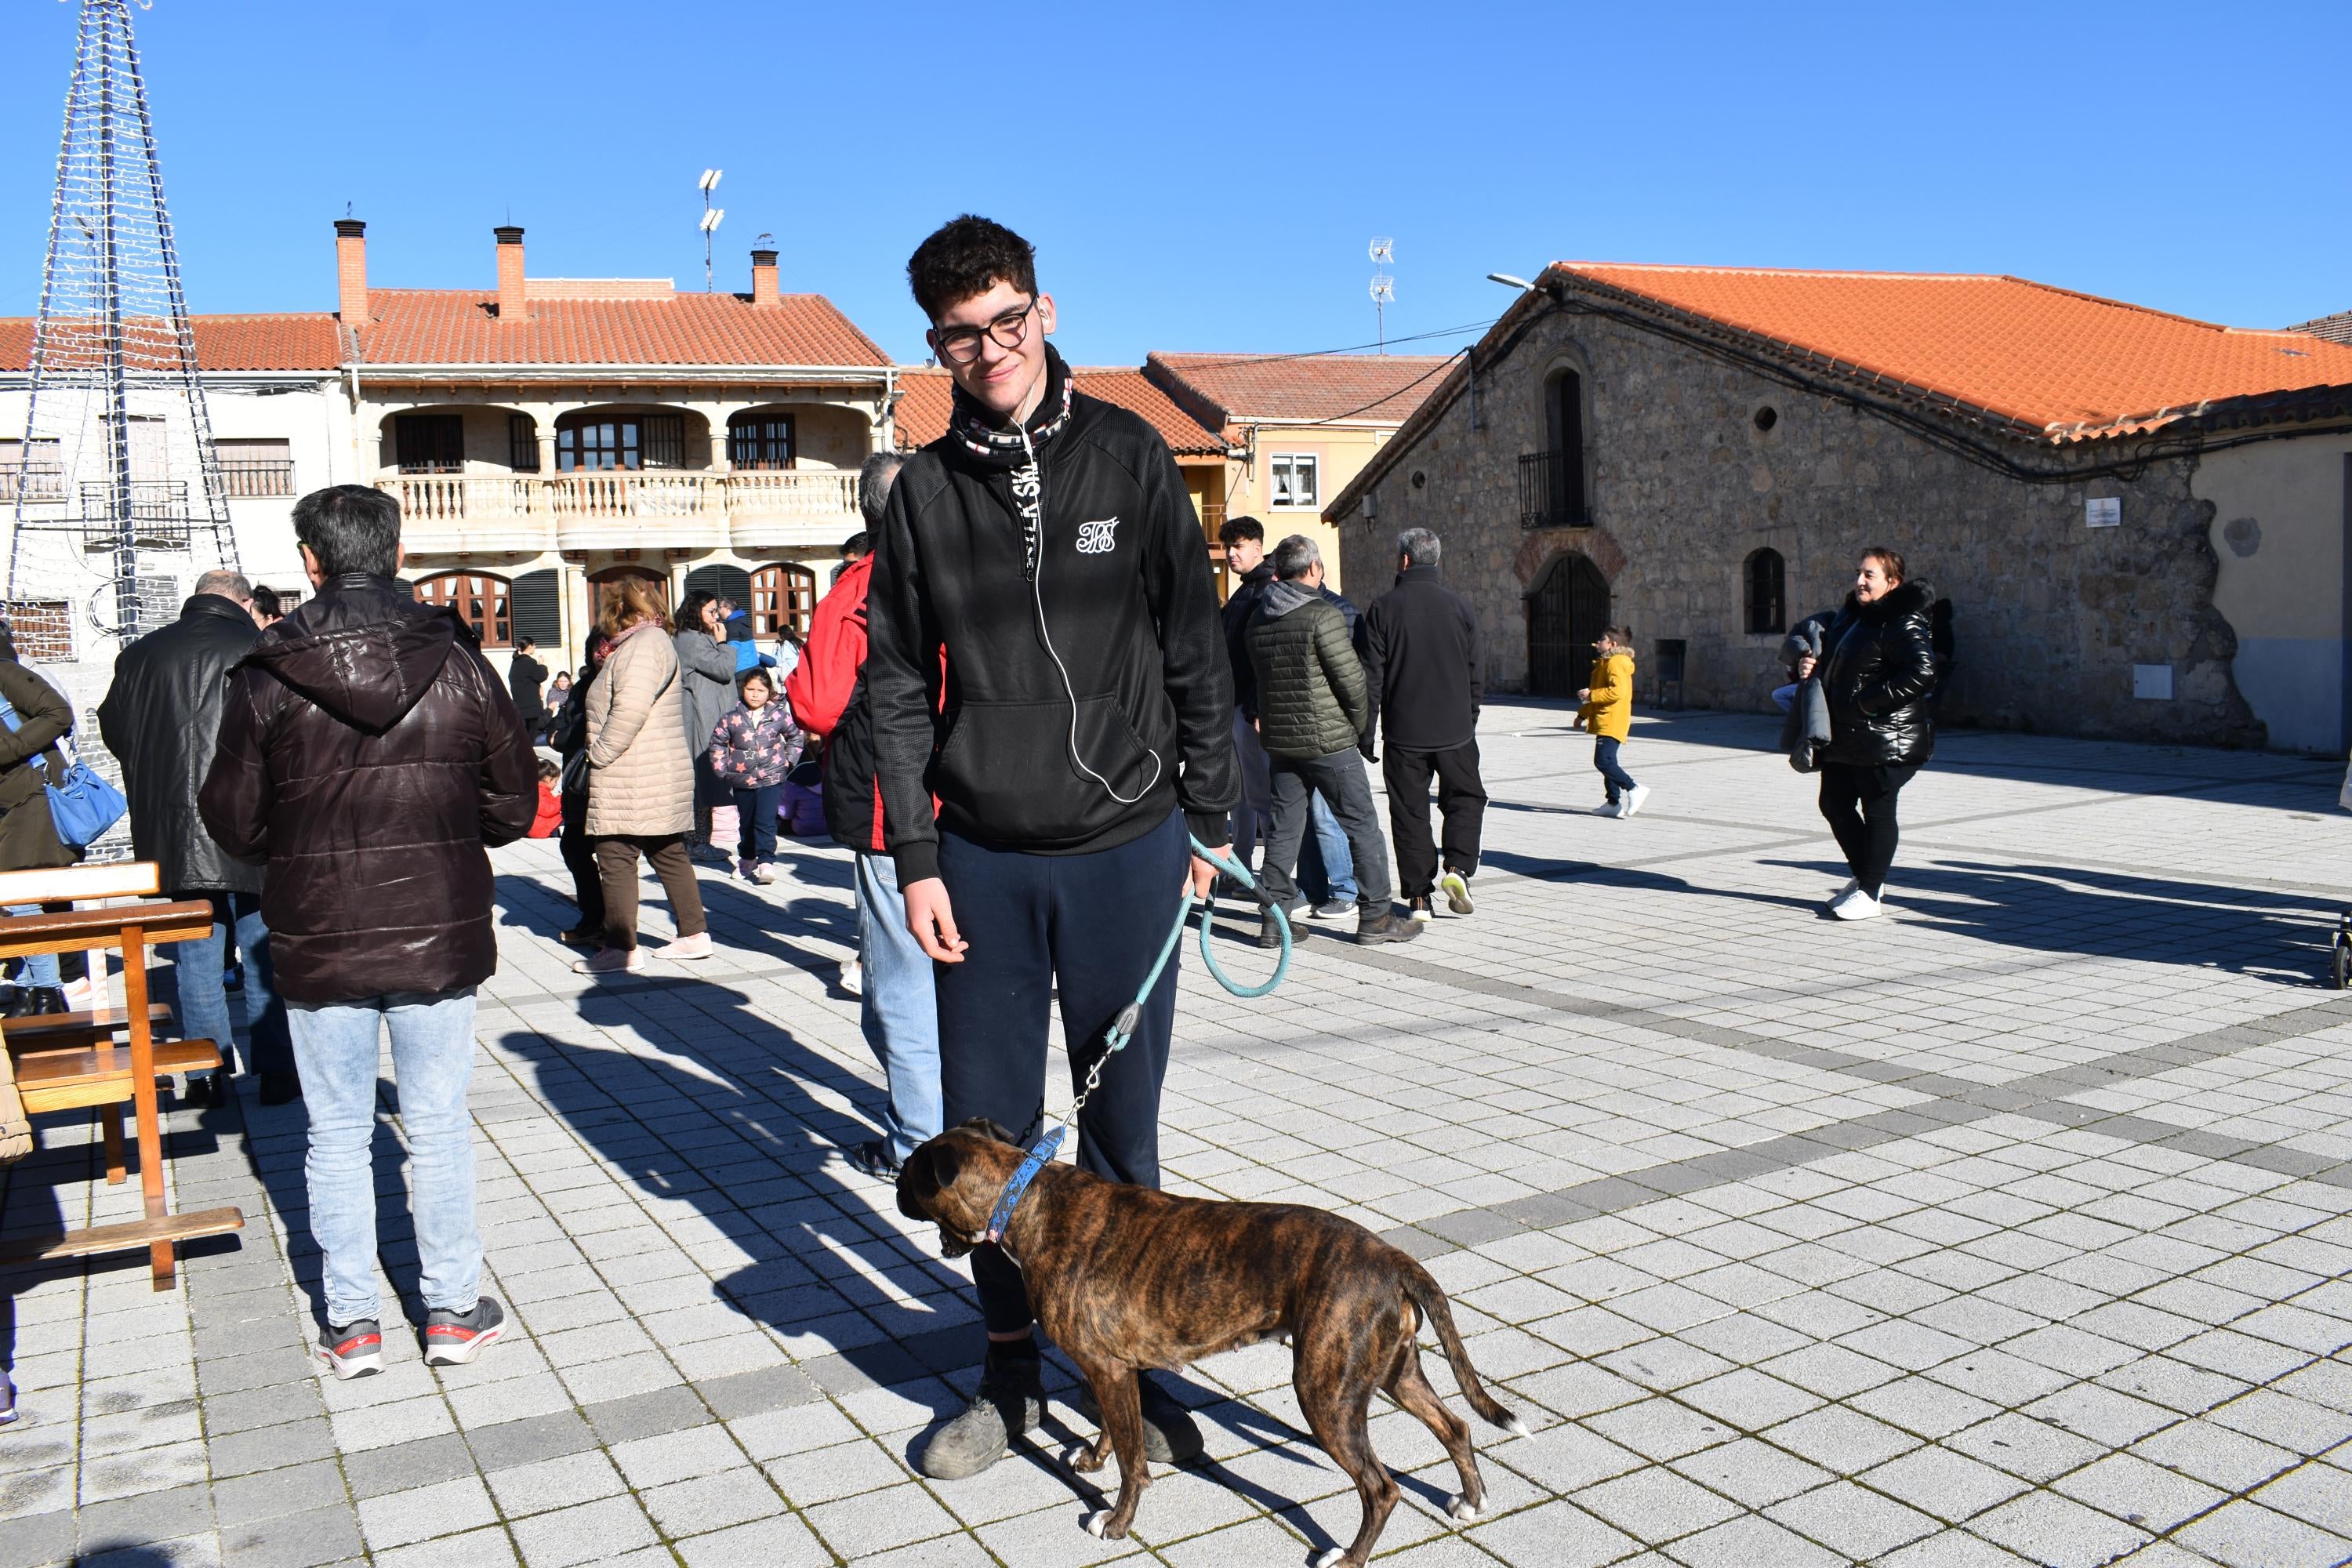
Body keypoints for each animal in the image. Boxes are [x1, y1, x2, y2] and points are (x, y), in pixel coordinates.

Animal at [894, 1123, 1524, 1561]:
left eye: (909, 1174)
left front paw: (1116, 1523)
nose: (894, 1181)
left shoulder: (1107, 1368)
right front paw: (1092, 1459)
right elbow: (1112, 1430)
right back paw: (1471, 1501)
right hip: (1393, 1371)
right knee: (1456, 1427)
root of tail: (1392, 1258)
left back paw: (1348, 1557)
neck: (1026, 1198)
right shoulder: (1112, 1369)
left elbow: (1134, 1461)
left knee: (1382, 1488)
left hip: (1324, 1391)